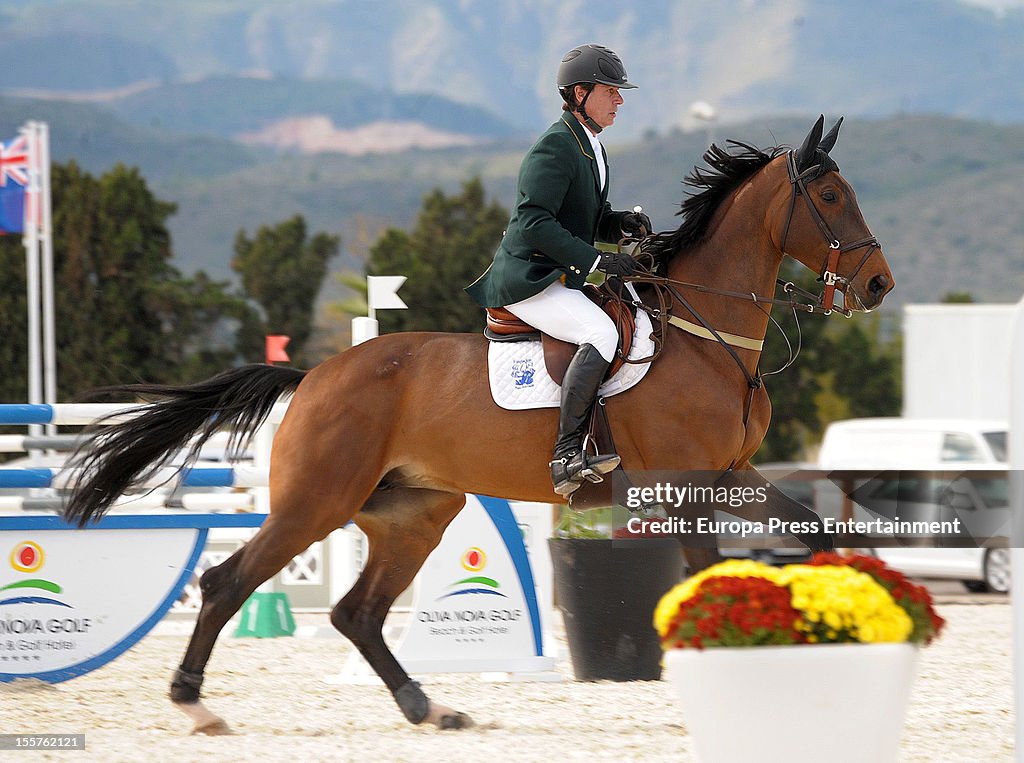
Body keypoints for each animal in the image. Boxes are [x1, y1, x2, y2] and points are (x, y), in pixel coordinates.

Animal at [64, 114, 892, 733]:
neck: (706, 332)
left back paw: (428, 706)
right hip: (316, 503)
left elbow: (817, 533)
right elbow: (700, 580)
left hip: (416, 512)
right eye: (829, 194)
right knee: (227, 580)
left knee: (358, 612)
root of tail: (317, 375)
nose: (879, 284)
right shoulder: (681, 490)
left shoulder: (730, 476)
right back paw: (195, 704)